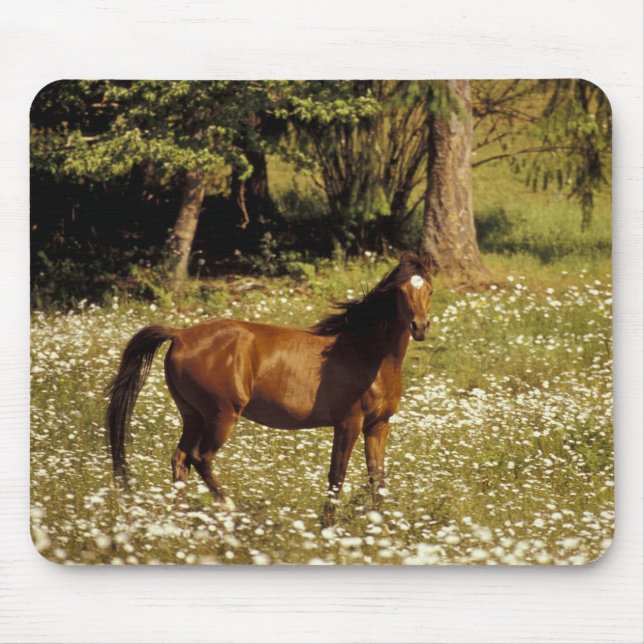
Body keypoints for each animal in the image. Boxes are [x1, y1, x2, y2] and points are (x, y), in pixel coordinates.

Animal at [106, 252, 432, 511]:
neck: (364, 352)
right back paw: (230, 510)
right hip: (221, 415)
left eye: (428, 288)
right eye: (400, 290)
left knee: (180, 460)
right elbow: (336, 477)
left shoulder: (378, 426)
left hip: (193, 416)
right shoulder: (348, 424)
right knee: (201, 458)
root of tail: (180, 334)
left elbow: (377, 478)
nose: (420, 327)